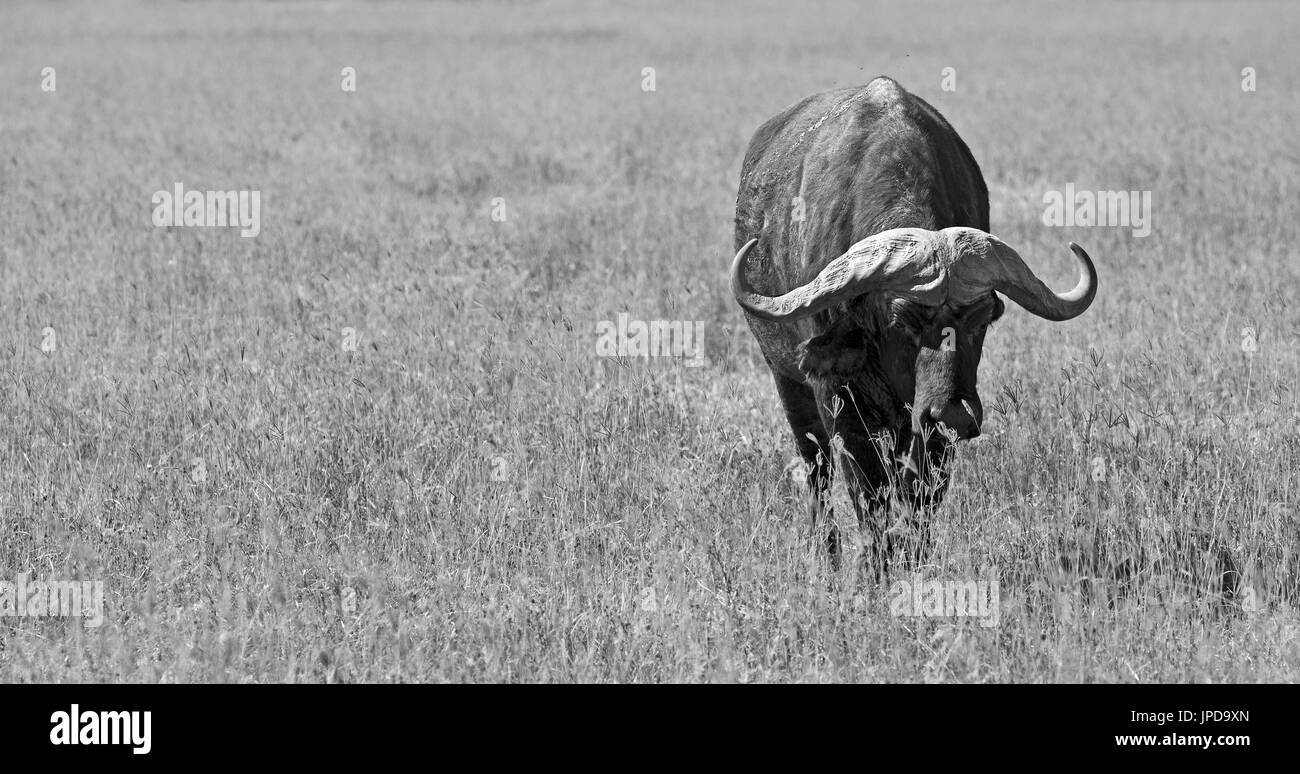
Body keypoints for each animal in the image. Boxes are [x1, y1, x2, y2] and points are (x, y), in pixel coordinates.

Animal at [733, 77, 1097, 569]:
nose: (954, 412)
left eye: (982, 319)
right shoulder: (838, 399)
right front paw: (874, 567)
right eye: (902, 319)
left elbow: (919, 498)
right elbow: (868, 495)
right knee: (816, 471)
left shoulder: (930, 427)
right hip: (787, 382)